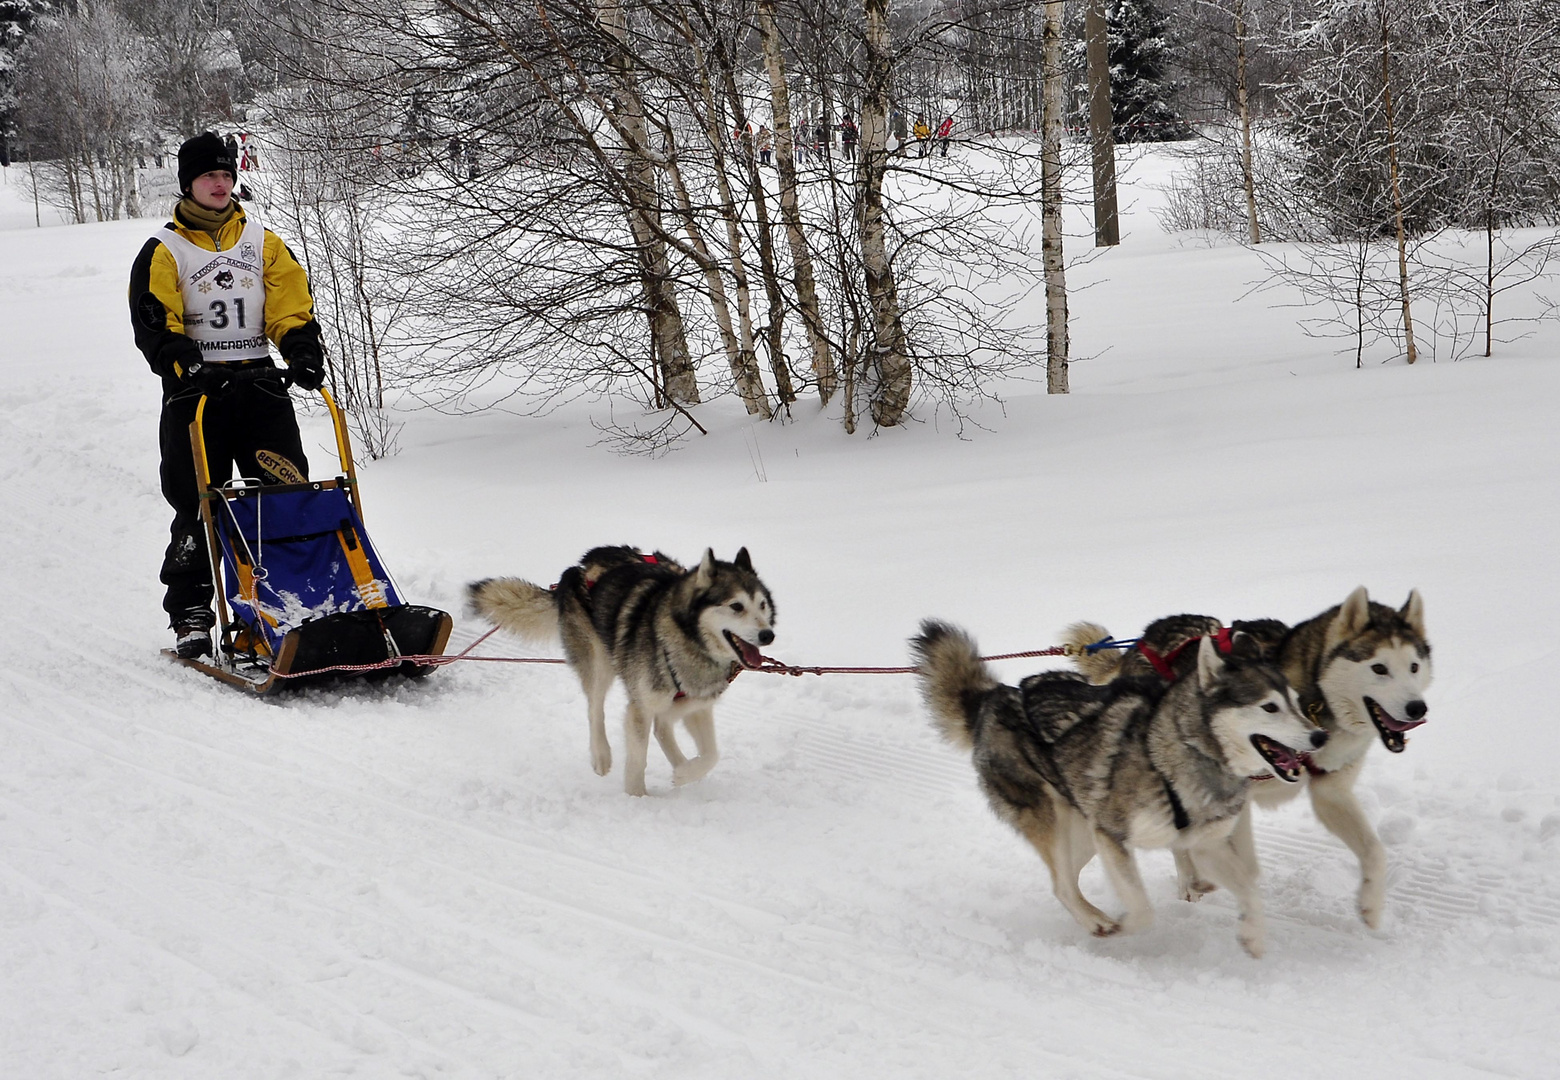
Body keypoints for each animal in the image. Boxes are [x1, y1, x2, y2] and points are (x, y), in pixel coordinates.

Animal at [464, 549, 776, 792]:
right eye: (736, 606)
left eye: (762, 605)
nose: (768, 635)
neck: (688, 640)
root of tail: (578, 568)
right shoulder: (641, 708)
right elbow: (637, 761)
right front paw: (637, 798)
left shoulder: (697, 706)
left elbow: (711, 754)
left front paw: (684, 774)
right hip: (600, 662)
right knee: (595, 709)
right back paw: (601, 755)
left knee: (662, 728)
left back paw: (680, 764)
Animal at [911, 621, 1329, 955]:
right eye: (1269, 707)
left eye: (1296, 702)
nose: (1320, 736)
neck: (1180, 755)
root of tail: (995, 695)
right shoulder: (1111, 834)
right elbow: (1142, 910)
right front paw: (1124, 926)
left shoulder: (1206, 844)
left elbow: (1249, 889)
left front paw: (1253, 936)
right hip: (1058, 823)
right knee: (1062, 885)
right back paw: (1096, 920)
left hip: (1081, 833)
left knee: (1066, 880)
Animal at [1067, 589, 1428, 930]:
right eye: (1379, 668)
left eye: (1414, 667)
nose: (1417, 708)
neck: (1317, 701)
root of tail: (1145, 637)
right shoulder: (1233, 801)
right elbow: (1242, 864)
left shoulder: (1331, 792)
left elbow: (1374, 852)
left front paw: (1371, 907)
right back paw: (1189, 881)